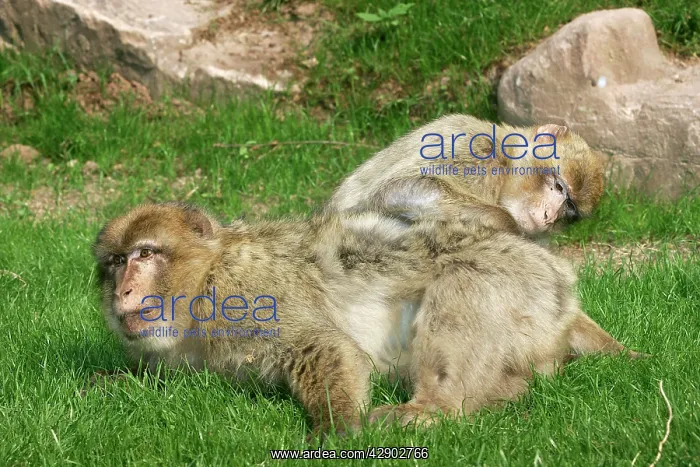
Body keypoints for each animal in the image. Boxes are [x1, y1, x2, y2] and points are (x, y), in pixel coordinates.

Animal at [93, 201, 639, 434]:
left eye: (146, 254)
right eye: (117, 261)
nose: (123, 288)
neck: (203, 279)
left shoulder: (245, 295)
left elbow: (326, 347)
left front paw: (338, 427)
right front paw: (106, 382)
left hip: (520, 281)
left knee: (462, 282)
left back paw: (437, 408)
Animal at [328, 114, 604, 238]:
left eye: (569, 208)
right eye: (558, 187)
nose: (550, 216)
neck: (505, 161)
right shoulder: (475, 148)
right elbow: (398, 189)